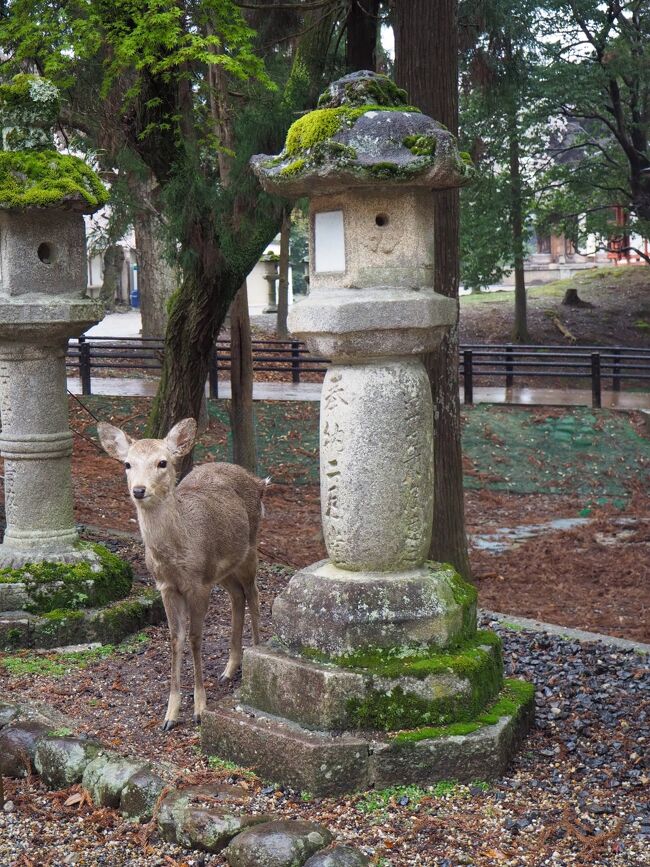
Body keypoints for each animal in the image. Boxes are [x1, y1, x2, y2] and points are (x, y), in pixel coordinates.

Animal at [95, 418, 266, 728]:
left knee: (254, 595)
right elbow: (176, 639)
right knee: (237, 596)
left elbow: (197, 638)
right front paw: (170, 714)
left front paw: (199, 709)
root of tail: (258, 482)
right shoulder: (166, 586)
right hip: (223, 569)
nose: (139, 490)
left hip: (250, 548)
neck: (175, 555)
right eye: (127, 464)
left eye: (162, 462)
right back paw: (229, 668)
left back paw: (254, 656)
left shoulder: (198, 584)